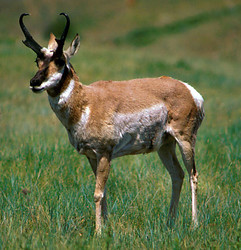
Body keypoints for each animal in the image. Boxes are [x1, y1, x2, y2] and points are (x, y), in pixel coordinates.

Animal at [19, 13, 204, 232]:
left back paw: (194, 224)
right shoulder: (91, 156)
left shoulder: (104, 153)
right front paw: (105, 228)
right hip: (165, 146)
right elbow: (104, 191)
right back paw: (169, 222)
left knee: (193, 175)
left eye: (60, 60)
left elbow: (98, 193)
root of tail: (188, 90)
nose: (34, 82)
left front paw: (98, 232)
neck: (85, 101)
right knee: (177, 175)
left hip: (185, 140)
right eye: (37, 60)